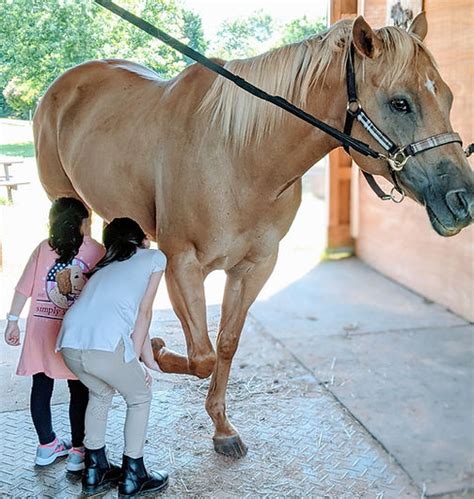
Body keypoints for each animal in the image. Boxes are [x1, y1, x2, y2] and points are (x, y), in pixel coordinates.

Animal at [34, 13, 474, 458]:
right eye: (400, 102)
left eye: (448, 97)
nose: (463, 200)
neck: (239, 156)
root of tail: (64, 85)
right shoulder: (182, 264)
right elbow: (202, 356)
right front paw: (155, 350)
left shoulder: (254, 267)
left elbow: (225, 345)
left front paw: (222, 428)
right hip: (70, 203)